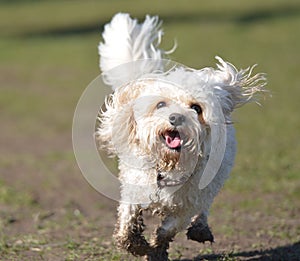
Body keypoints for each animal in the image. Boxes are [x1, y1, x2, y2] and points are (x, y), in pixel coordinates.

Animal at [96, 12, 264, 260]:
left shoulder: (188, 203)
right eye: (161, 104)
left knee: (204, 208)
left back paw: (200, 228)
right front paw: (134, 244)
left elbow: (169, 228)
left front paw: (157, 249)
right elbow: (128, 220)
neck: (168, 166)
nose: (175, 118)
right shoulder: (134, 187)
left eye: (196, 108)